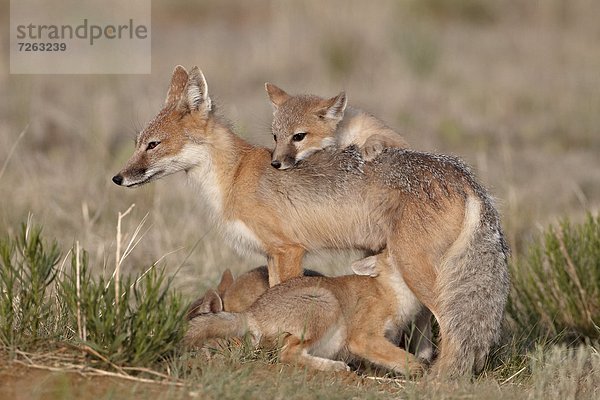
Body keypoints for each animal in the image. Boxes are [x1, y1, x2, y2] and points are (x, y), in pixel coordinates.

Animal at [185, 260, 424, 376]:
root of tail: (251, 312)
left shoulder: (386, 338)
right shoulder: (363, 337)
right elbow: (409, 360)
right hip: (327, 304)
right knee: (288, 353)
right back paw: (334, 367)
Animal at [264, 83, 408, 170]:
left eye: (298, 136)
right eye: (275, 137)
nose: (275, 164)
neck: (345, 137)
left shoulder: (401, 141)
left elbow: (378, 135)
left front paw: (370, 146)